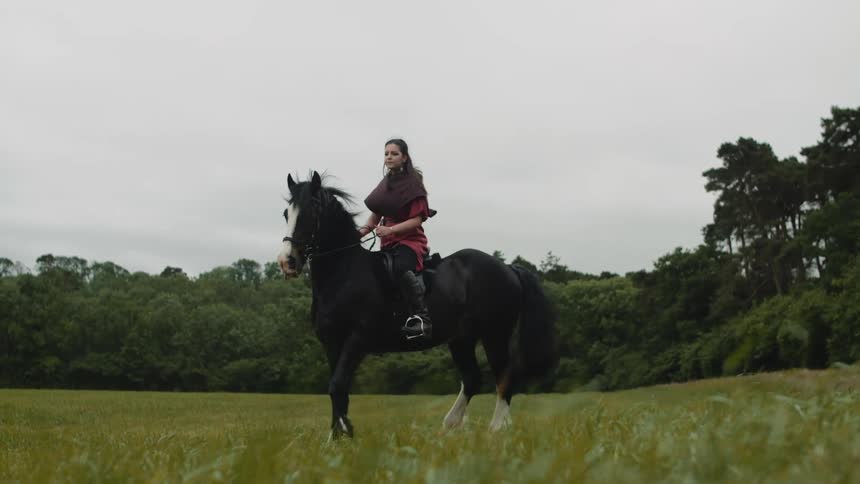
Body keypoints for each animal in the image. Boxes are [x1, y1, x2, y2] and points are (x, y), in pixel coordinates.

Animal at [277, 171, 558, 439]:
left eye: (310, 214)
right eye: (286, 213)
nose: (287, 261)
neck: (344, 273)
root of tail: (508, 268)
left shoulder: (357, 340)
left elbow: (337, 386)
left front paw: (343, 434)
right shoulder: (332, 343)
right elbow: (339, 390)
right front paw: (338, 437)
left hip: (494, 334)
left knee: (504, 378)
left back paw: (497, 428)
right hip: (462, 339)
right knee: (472, 379)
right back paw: (449, 426)